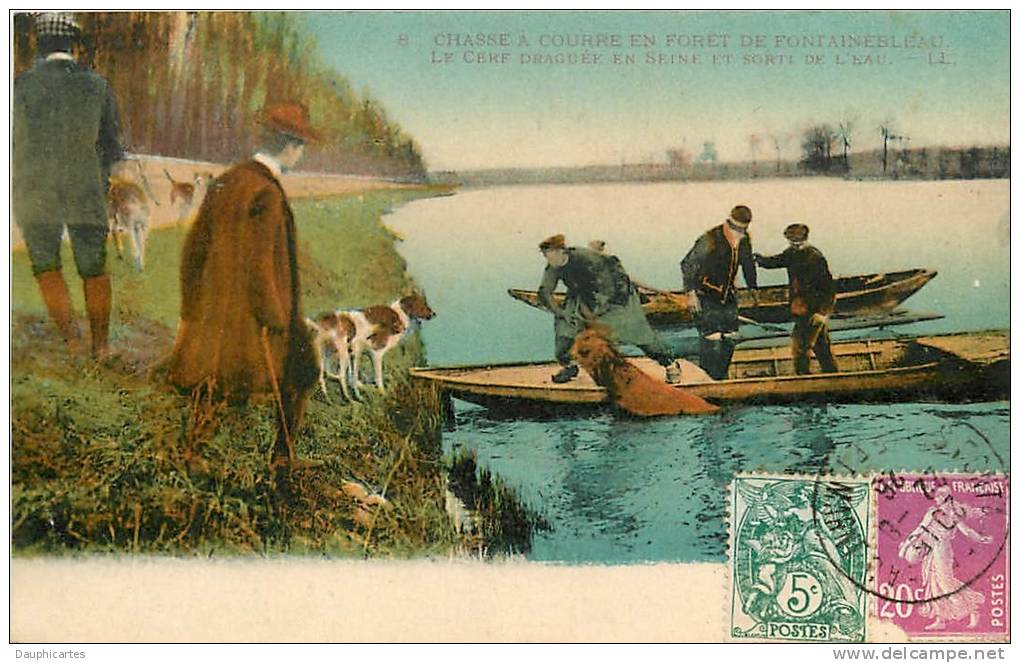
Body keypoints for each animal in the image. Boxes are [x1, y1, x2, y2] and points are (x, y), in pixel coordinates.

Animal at [303, 289, 432, 397]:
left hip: (327, 353)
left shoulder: (357, 354)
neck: (399, 315)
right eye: (422, 304)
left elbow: (353, 377)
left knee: (324, 373)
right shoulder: (376, 354)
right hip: (342, 353)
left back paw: (328, 396)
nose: (433, 314)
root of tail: (322, 321)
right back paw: (350, 398)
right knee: (339, 375)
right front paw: (382, 393)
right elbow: (377, 377)